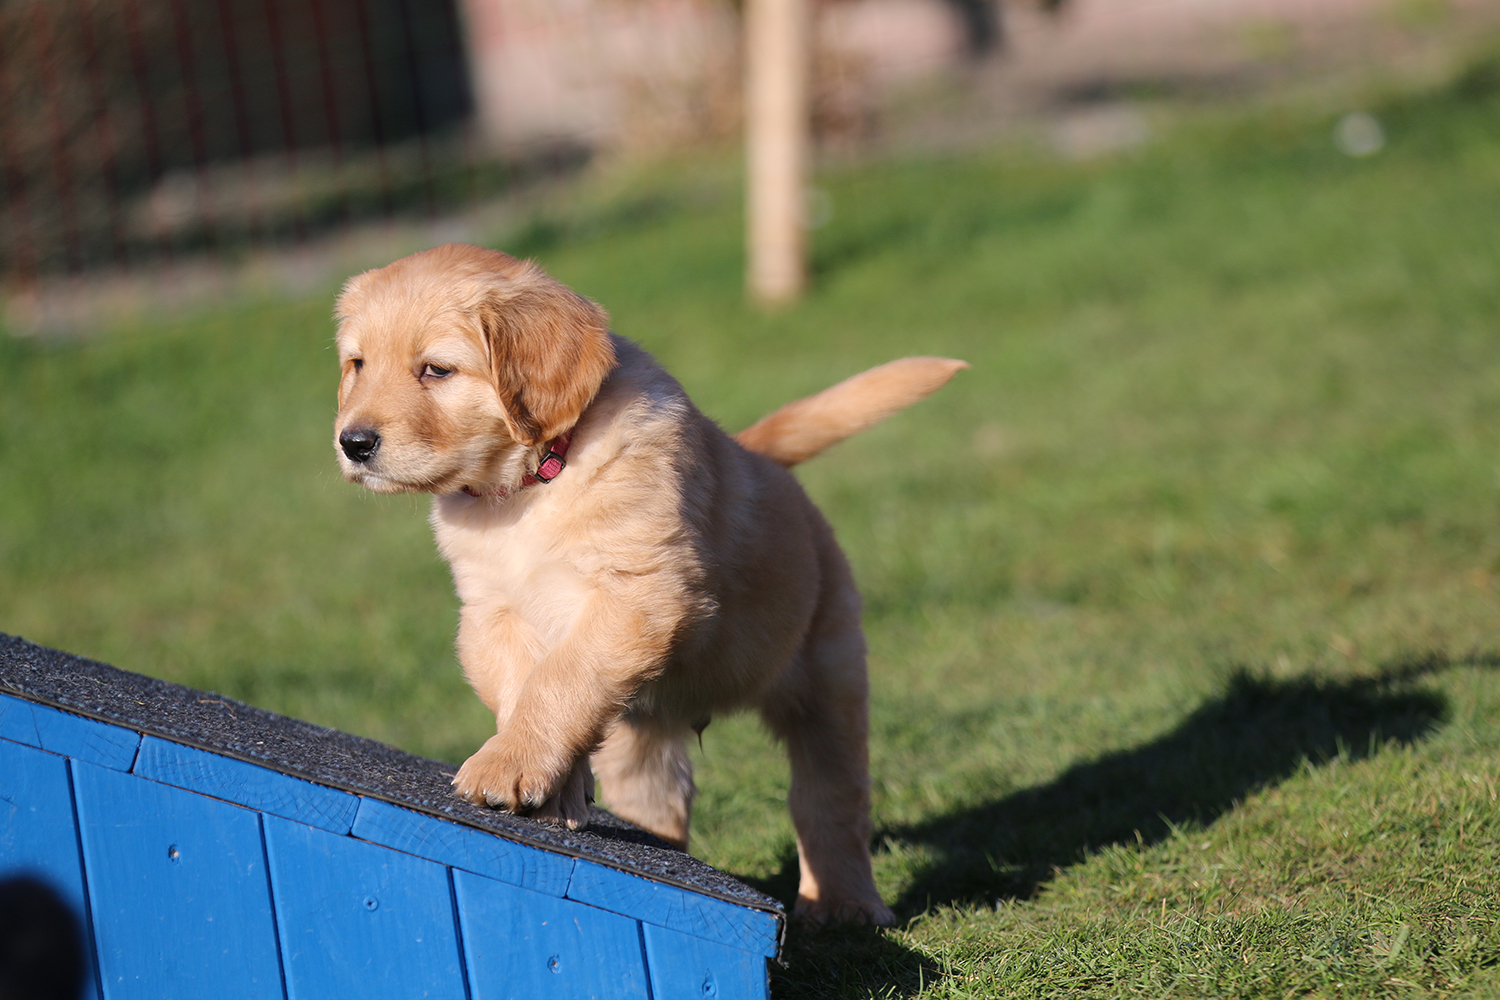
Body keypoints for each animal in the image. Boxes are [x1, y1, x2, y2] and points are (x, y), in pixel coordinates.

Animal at [333, 243, 965, 924]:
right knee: (665, 802)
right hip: (645, 744)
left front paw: (508, 765)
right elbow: (523, 686)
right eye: (357, 364)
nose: (353, 442)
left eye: (436, 370)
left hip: (828, 680)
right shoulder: (491, 613)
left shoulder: (639, 592)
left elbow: (561, 678)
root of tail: (757, 452)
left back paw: (844, 904)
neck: (535, 482)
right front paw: (552, 787)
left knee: (829, 798)